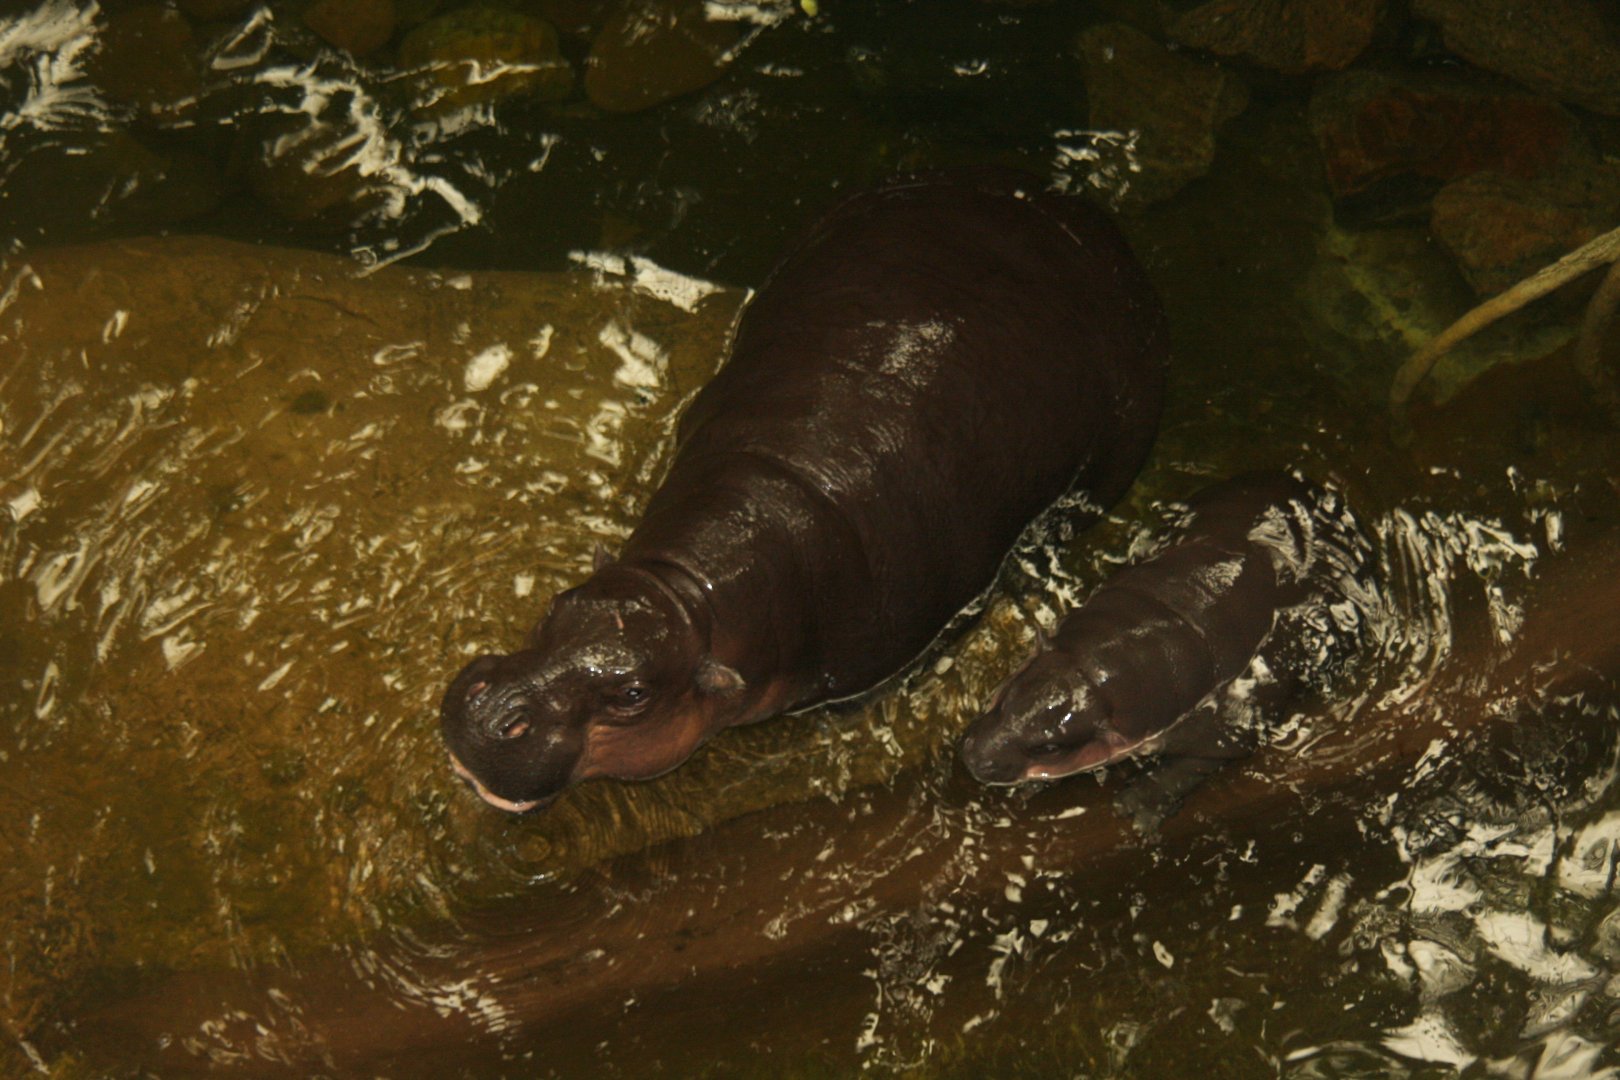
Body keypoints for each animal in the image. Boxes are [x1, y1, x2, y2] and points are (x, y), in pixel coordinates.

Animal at [959, 472, 1371, 814]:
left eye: (1050, 747)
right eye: (1007, 696)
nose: (974, 758)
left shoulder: (1221, 728)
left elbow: (1196, 763)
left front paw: (1134, 807)